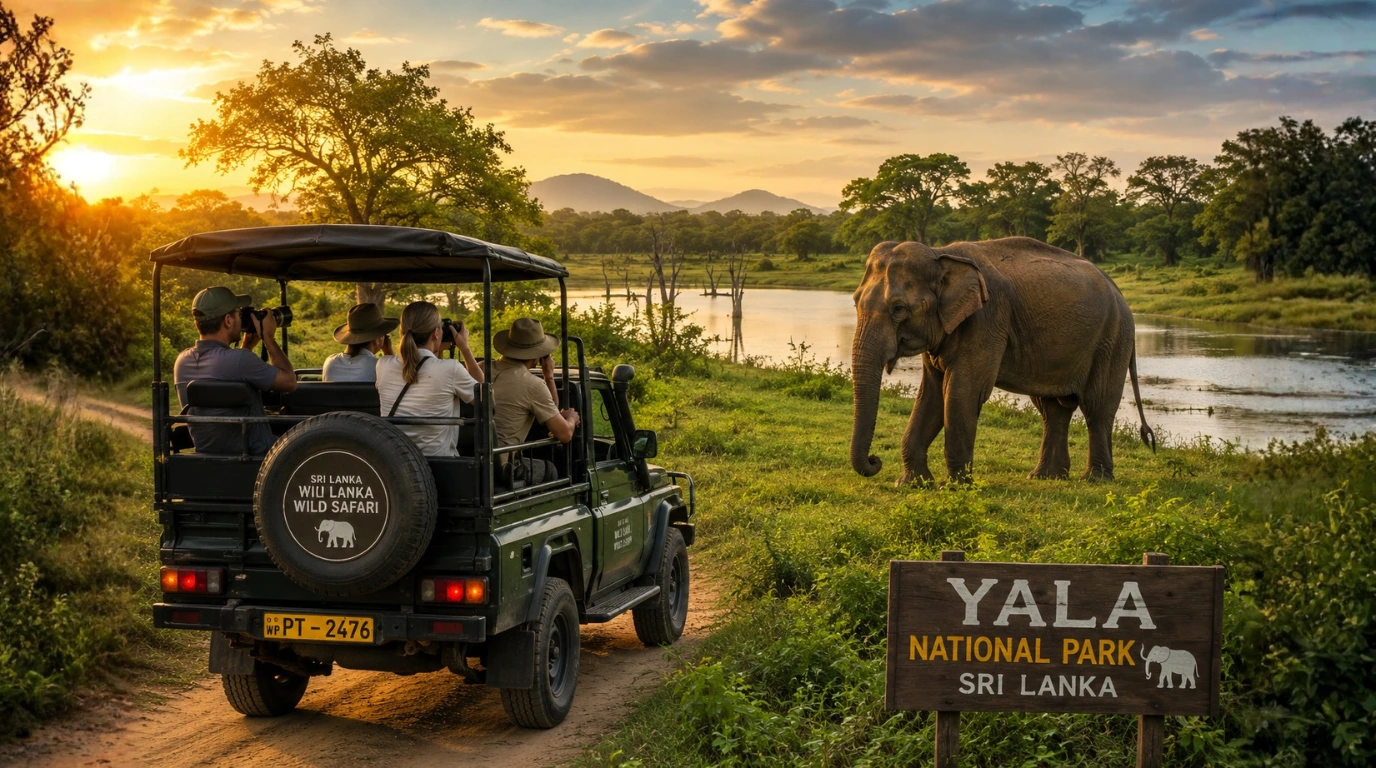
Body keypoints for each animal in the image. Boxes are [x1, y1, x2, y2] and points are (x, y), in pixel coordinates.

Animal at [849, 238, 1155, 485]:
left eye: (899, 309)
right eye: (854, 302)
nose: (875, 461)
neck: (940, 253)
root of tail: (1120, 293)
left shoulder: (987, 320)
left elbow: (961, 393)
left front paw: (955, 487)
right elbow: (931, 395)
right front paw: (912, 484)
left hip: (1112, 340)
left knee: (1097, 407)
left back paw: (1094, 480)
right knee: (1052, 409)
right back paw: (1044, 477)